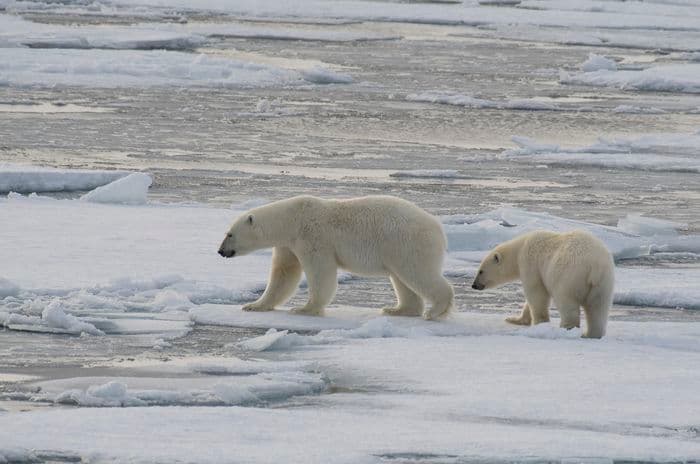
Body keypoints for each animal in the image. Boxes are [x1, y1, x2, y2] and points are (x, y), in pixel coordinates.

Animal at [217, 195, 454, 320]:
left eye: (229, 234)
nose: (221, 251)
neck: (292, 219)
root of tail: (438, 228)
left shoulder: (313, 238)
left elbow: (320, 272)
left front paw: (304, 309)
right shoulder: (288, 245)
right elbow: (283, 274)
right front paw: (254, 305)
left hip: (407, 242)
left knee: (417, 273)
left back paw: (434, 311)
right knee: (402, 279)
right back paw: (398, 309)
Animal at [470, 231, 612, 338]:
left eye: (480, 271)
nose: (474, 285)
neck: (520, 249)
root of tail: (595, 266)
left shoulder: (530, 264)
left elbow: (536, 293)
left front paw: (539, 323)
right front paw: (514, 319)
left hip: (568, 276)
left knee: (566, 302)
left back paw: (566, 328)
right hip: (602, 284)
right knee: (598, 308)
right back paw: (591, 334)